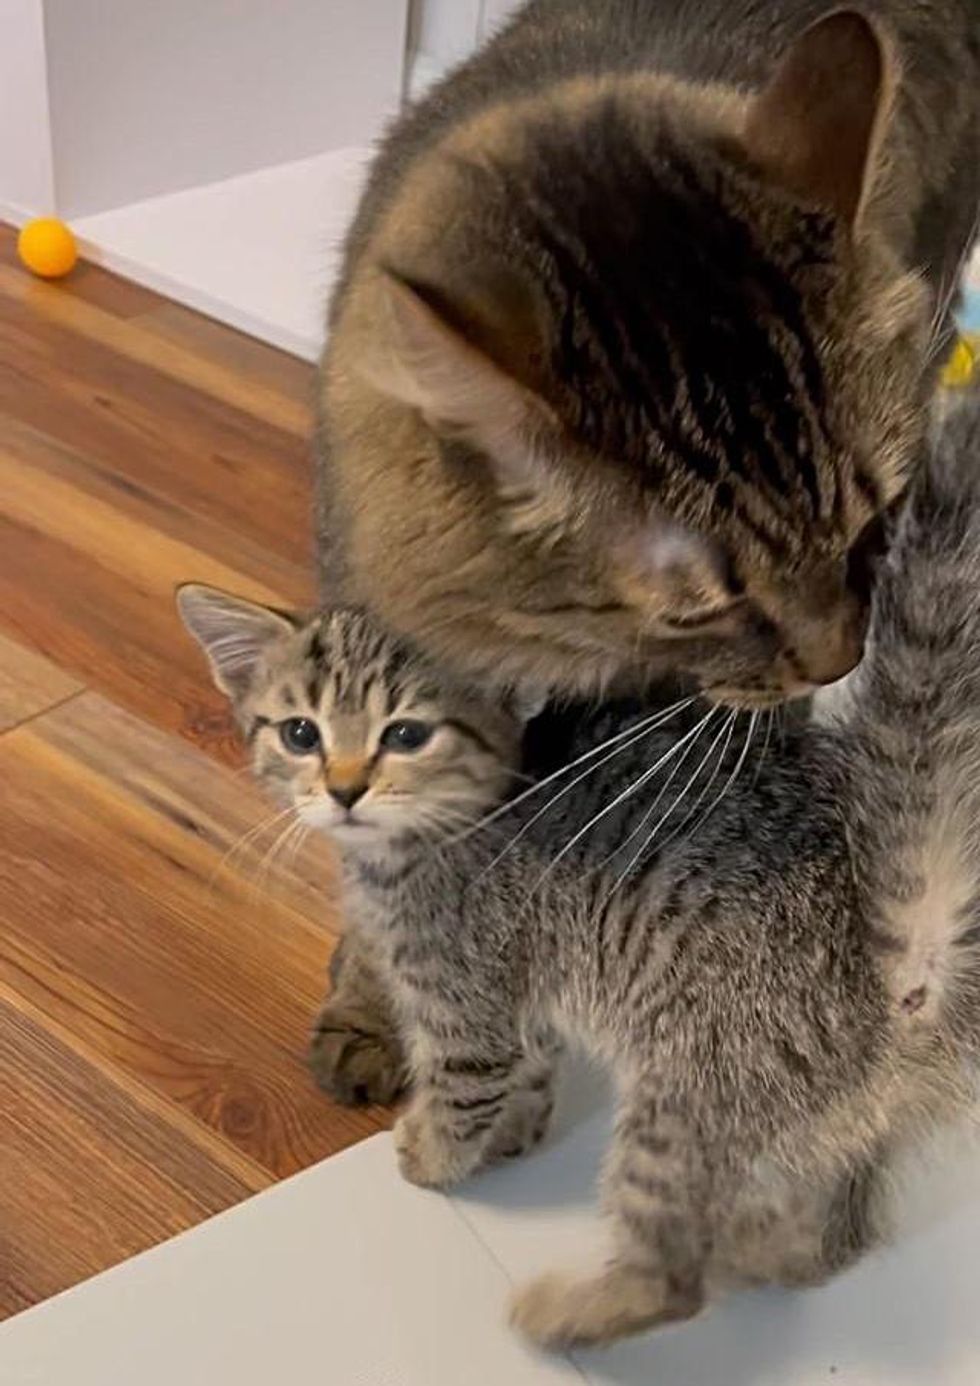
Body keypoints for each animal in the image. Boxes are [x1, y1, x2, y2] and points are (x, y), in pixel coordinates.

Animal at [180, 385, 980, 1347]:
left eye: (406, 734)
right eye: (300, 733)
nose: (342, 789)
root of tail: (895, 956)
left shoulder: (464, 1001)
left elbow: (463, 1091)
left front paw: (431, 1159)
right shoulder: (528, 981)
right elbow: (531, 1065)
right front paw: (520, 1127)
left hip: (684, 1098)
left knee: (672, 1278)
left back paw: (566, 1313)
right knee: (832, 1233)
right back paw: (767, 1250)